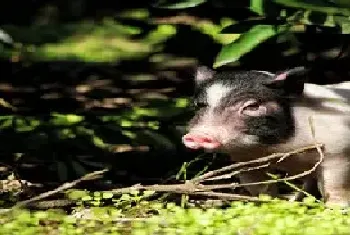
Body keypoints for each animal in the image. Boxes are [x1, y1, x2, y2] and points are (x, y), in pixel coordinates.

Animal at [182, 65, 350, 207]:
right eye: (199, 105)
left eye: (252, 106)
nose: (198, 135)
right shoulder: (245, 162)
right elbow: (260, 189)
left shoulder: (337, 151)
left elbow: (334, 187)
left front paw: (337, 209)